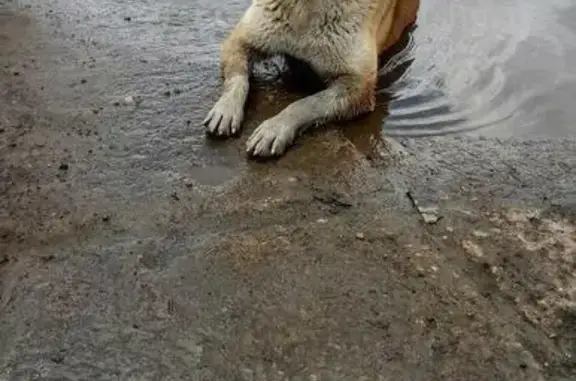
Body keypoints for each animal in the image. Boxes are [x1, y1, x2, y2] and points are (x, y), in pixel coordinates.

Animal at [202, 0, 418, 157]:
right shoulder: (242, 39)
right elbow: (237, 78)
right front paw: (226, 109)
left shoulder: (359, 85)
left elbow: (306, 104)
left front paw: (275, 128)